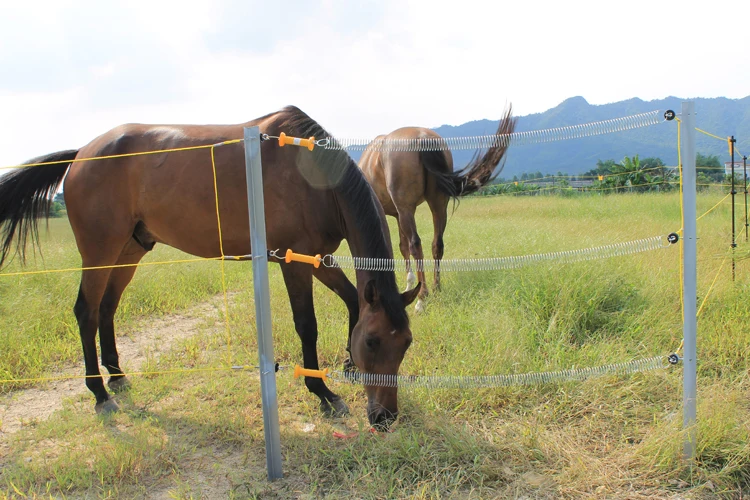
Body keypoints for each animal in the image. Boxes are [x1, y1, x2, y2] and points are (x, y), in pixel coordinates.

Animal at [0, 106, 424, 430]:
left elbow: (352, 300)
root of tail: (81, 154)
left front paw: (348, 366)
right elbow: (308, 325)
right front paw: (323, 393)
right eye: (374, 342)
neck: (312, 175)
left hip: (129, 250)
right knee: (86, 311)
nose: (385, 418)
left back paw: (117, 377)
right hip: (100, 251)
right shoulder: (294, 261)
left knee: (107, 308)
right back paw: (100, 393)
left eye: (405, 343)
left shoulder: (318, 258)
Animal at [360, 106, 516, 312]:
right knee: (437, 244)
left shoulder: (393, 213)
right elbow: (402, 247)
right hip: (438, 205)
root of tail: (423, 138)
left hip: (408, 209)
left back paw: (422, 298)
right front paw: (408, 286)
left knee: (416, 245)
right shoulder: (396, 214)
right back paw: (436, 289)